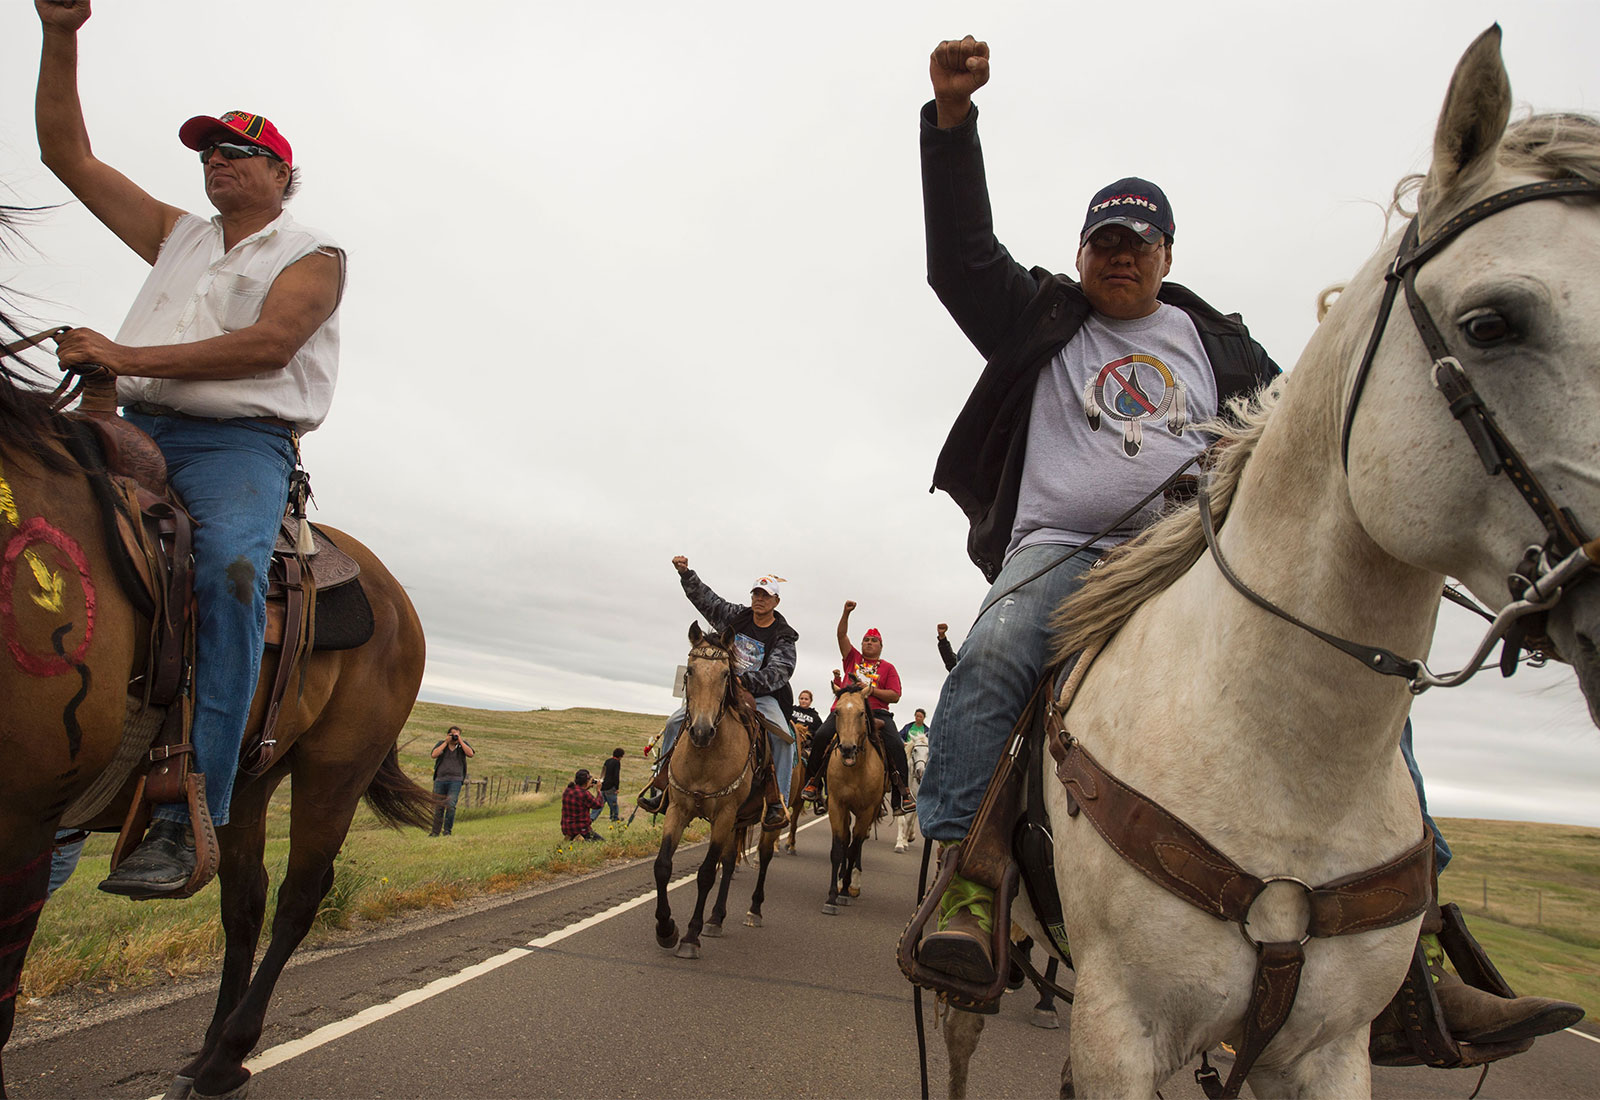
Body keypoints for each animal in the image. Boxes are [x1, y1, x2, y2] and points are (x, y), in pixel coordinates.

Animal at [0, 306, 432, 1093]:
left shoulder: (23, 816)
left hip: (334, 772)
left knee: (298, 896)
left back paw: (230, 1052)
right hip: (250, 777)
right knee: (245, 898)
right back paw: (207, 1051)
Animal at [652, 623, 784, 959]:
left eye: (726, 674)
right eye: (690, 671)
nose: (700, 731)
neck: (705, 755)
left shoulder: (724, 814)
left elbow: (706, 874)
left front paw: (690, 937)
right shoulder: (678, 809)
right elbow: (663, 866)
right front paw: (666, 929)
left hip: (764, 822)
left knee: (764, 858)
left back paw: (753, 911)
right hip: (735, 822)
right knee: (728, 862)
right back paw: (716, 918)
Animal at [819, 684, 883, 914]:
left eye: (861, 713)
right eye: (837, 712)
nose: (847, 749)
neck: (855, 770)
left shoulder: (867, 810)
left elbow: (854, 849)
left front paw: (846, 891)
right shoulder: (837, 805)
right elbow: (839, 848)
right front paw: (831, 896)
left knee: (858, 842)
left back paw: (853, 884)